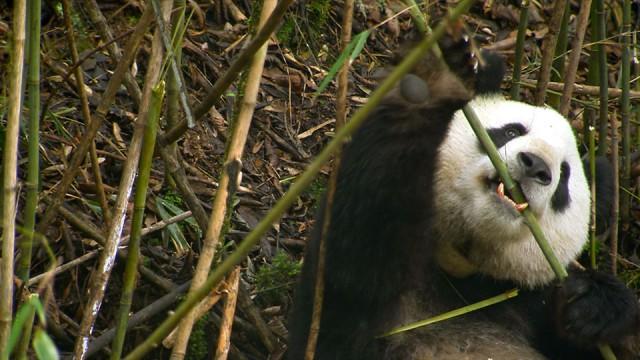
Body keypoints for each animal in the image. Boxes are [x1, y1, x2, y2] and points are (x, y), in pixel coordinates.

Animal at [288, 31, 640, 360]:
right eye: (511, 131)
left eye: (564, 176)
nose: (536, 165)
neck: (460, 268)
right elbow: (366, 232)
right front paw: (438, 78)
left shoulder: (525, 305)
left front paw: (594, 303)